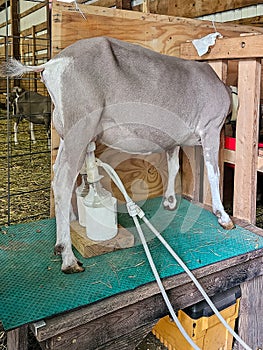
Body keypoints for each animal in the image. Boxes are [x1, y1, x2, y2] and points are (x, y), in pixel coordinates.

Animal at [0, 37, 235, 274]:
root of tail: (52, 64)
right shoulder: (211, 127)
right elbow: (214, 173)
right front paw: (223, 216)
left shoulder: (172, 139)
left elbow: (173, 166)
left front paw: (169, 201)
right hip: (81, 124)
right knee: (62, 182)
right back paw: (68, 257)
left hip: (65, 129)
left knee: (57, 172)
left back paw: (70, 225)